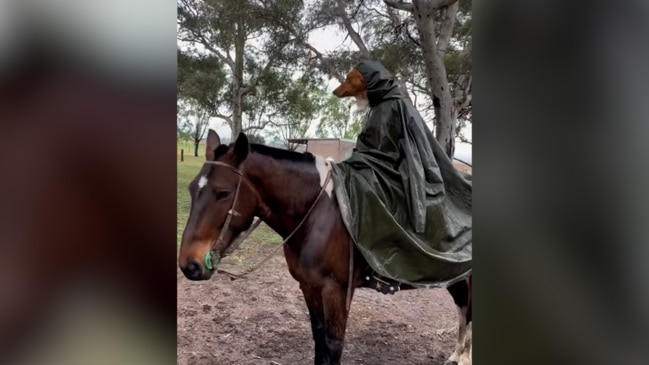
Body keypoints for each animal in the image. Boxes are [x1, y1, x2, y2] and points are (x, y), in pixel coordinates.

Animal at [177, 129, 470, 362]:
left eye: (224, 193)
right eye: (192, 189)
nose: (190, 265)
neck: (317, 214)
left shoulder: (336, 291)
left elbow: (333, 345)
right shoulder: (309, 286)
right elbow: (319, 338)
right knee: (463, 311)